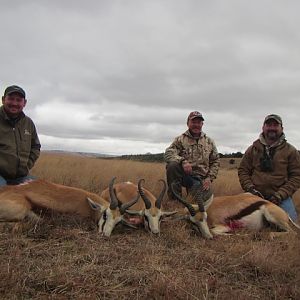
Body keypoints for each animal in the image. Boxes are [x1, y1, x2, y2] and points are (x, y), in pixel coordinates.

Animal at [171, 183, 300, 239]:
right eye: (193, 222)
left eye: (205, 218)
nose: (208, 237)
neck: (211, 208)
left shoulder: (223, 226)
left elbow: (216, 231)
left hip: (272, 218)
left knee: (291, 233)